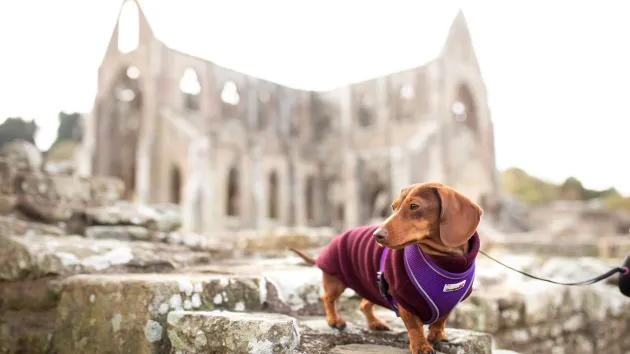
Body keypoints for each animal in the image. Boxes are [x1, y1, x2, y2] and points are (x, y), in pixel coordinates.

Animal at [292, 183, 484, 354]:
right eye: (393, 206)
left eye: (414, 206)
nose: (376, 235)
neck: (443, 261)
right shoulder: (404, 300)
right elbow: (415, 327)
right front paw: (421, 346)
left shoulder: (452, 301)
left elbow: (441, 319)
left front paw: (437, 334)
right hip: (336, 282)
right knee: (327, 298)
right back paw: (334, 320)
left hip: (374, 287)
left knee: (364, 304)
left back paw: (375, 323)